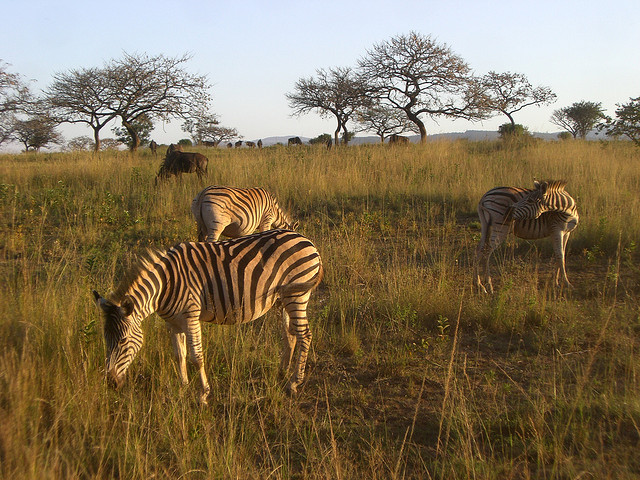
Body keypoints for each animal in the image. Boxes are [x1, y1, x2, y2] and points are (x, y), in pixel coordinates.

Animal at [93, 229, 324, 403]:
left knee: (305, 335)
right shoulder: (172, 322)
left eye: (123, 341)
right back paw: (281, 374)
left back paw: (294, 383)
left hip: (297, 294)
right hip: (283, 299)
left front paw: (203, 394)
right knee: (290, 335)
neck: (165, 286)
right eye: (105, 339)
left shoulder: (190, 316)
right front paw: (183, 388)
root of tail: (306, 240)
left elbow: (196, 357)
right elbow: (179, 355)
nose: (110, 383)